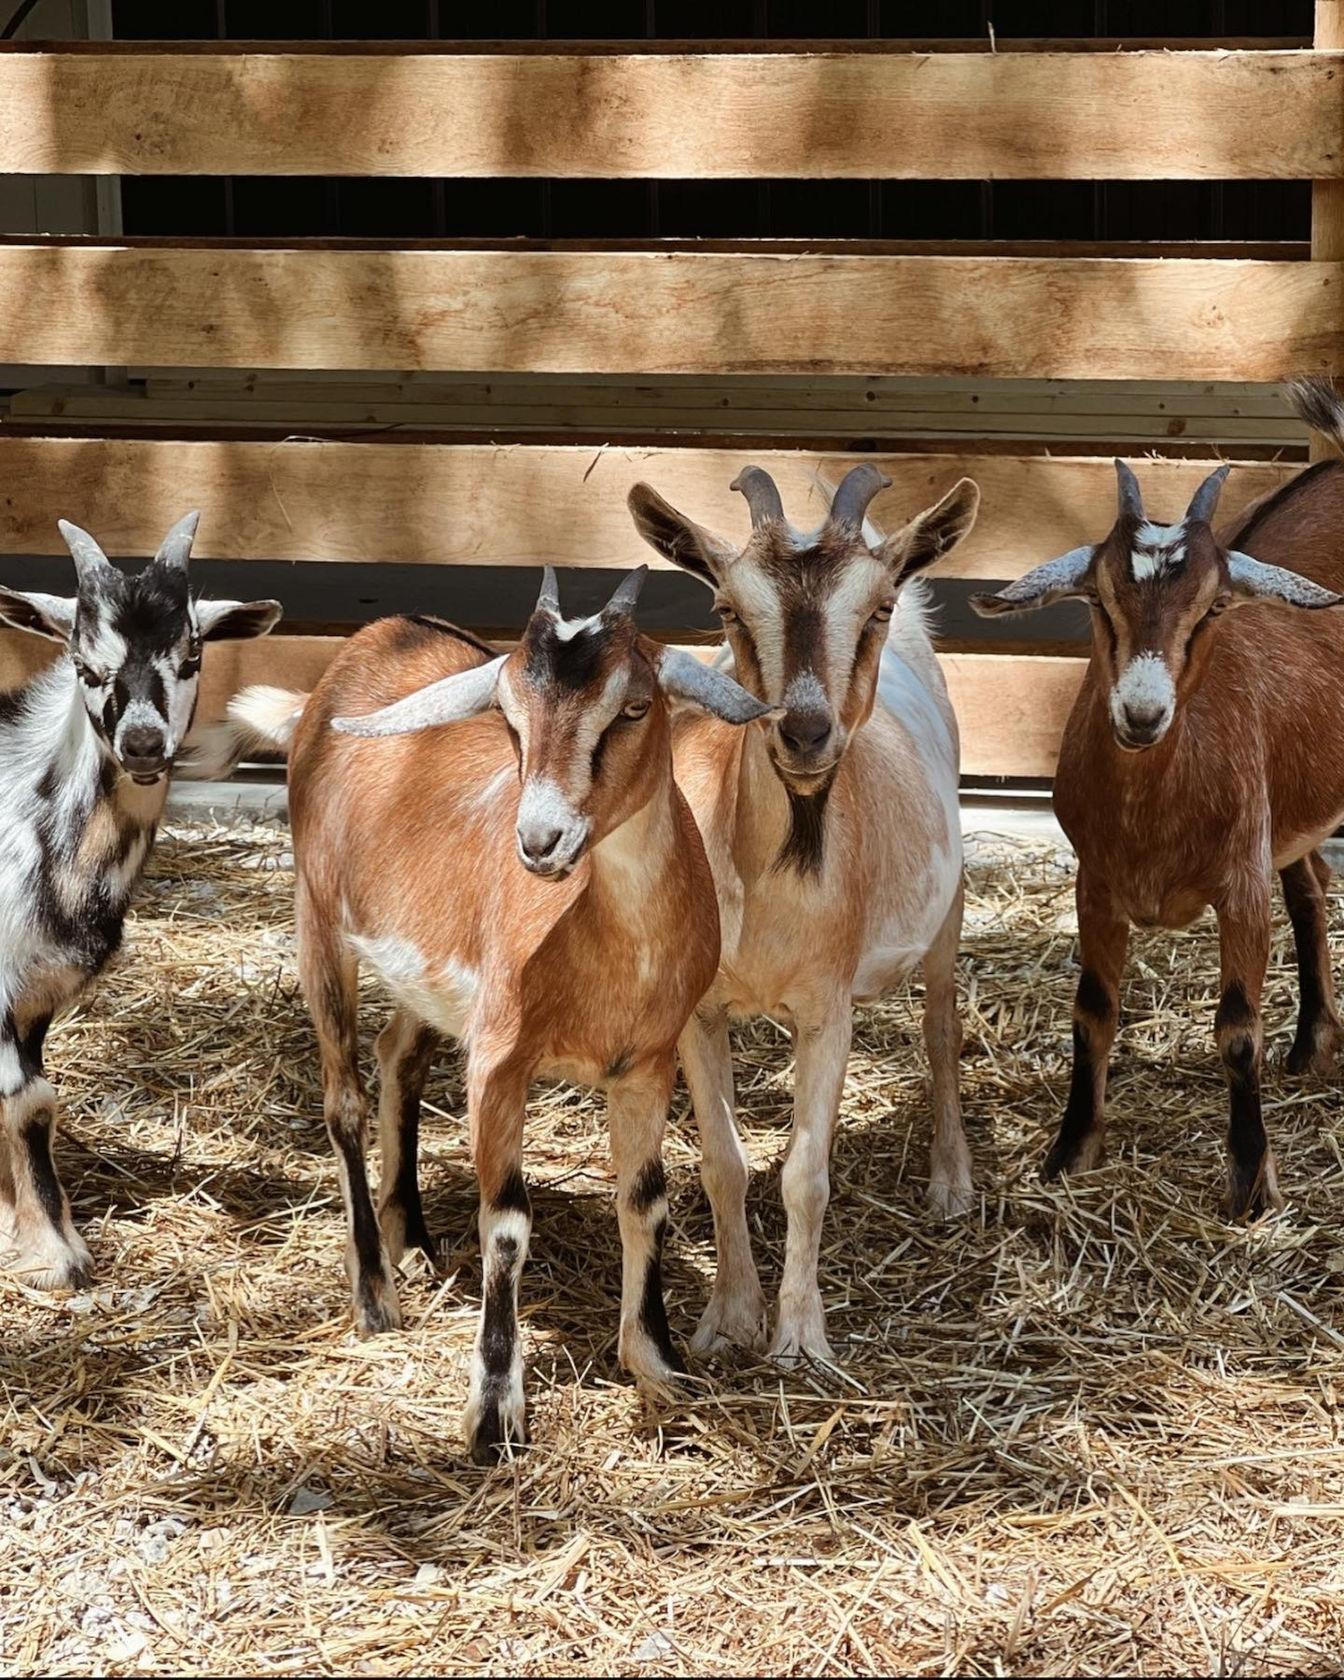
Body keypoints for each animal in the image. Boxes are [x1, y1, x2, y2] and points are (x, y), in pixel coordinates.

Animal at [0, 510, 278, 1283]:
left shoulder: (37, 993)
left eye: (193, 654)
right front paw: (53, 1257)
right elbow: (27, 1101)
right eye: (83, 665)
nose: (146, 745)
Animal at [231, 577, 776, 1458]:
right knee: (342, 1095)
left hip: (427, 983)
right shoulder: (499, 1062)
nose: (541, 840)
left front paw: (658, 1363)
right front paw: (494, 1413)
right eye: (510, 718)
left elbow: (645, 1200)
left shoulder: (647, 1062)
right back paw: (374, 1293)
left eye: (633, 708)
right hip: (319, 923)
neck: (607, 944)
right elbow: (509, 1223)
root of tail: (358, 651)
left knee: (397, 1052)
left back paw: (412, 1239)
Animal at [624, 463, 981, 1364]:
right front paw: (726, 1321)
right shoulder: (698, 1009)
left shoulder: (828, 1006)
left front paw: (798, 1340)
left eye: (875, 606)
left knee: (941, 1029)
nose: (807, 732)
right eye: (725, 606)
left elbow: (805, 1174)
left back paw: (951, 1184)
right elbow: (724, 1162)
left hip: (947, 910)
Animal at [974, 379, 1344, 1216]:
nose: (1142, 714)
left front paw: (1250, 1180)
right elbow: (1092, 1011)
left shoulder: (1240, 884)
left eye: (1214, 606)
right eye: (1098, 600)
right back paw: (1312, 1041)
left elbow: (1237, 1029)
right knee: (1311, 888)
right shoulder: (1096, 881)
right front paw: (1070, 1151)